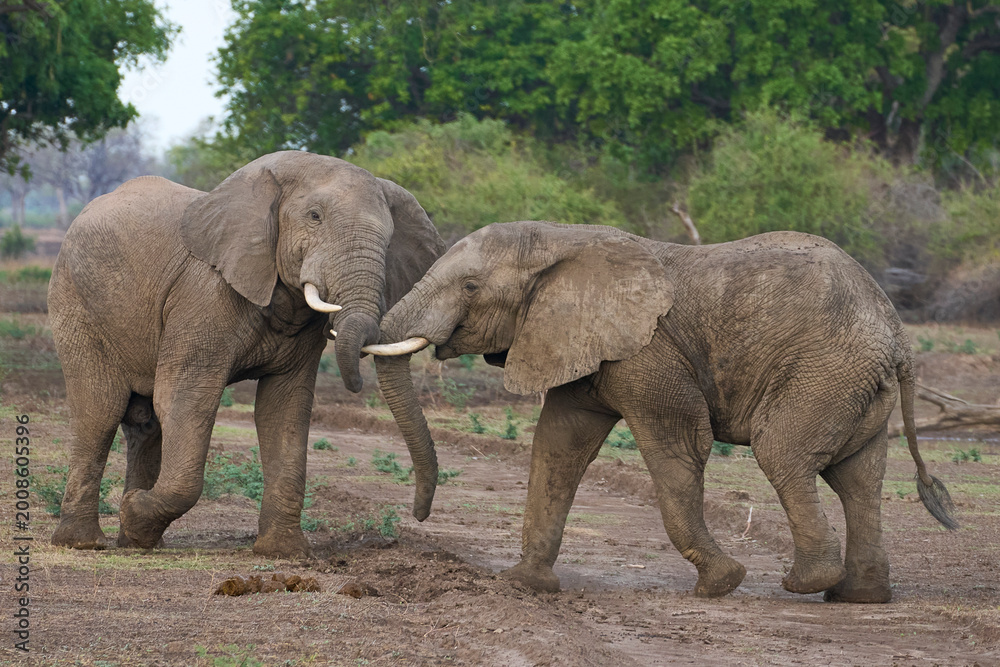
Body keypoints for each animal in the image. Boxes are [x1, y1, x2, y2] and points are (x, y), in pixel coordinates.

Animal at [48, 151, 446, 557]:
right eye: (314, 216)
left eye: (390, 237)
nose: (419, 514)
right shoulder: (202, 295)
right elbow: (185, 399)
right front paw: (132, 512)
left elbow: (283, 409)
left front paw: (284, 552)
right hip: (74, 302)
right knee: (100, 410)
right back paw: (84, 543)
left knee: (144, 424)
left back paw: (135, 543)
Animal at [365, 220, 956, 603]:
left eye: (470, 286)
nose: (418, 516)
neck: (562, 239)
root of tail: (896, 332)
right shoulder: (585, 343)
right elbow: (559, 444)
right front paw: (526, 584)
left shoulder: (647, 352)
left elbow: (676, 448)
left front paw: (720, 585)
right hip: (857, 384)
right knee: (858, 475)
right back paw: (860, 596)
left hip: (825, 369)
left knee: (784, 454)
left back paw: (806, 585)